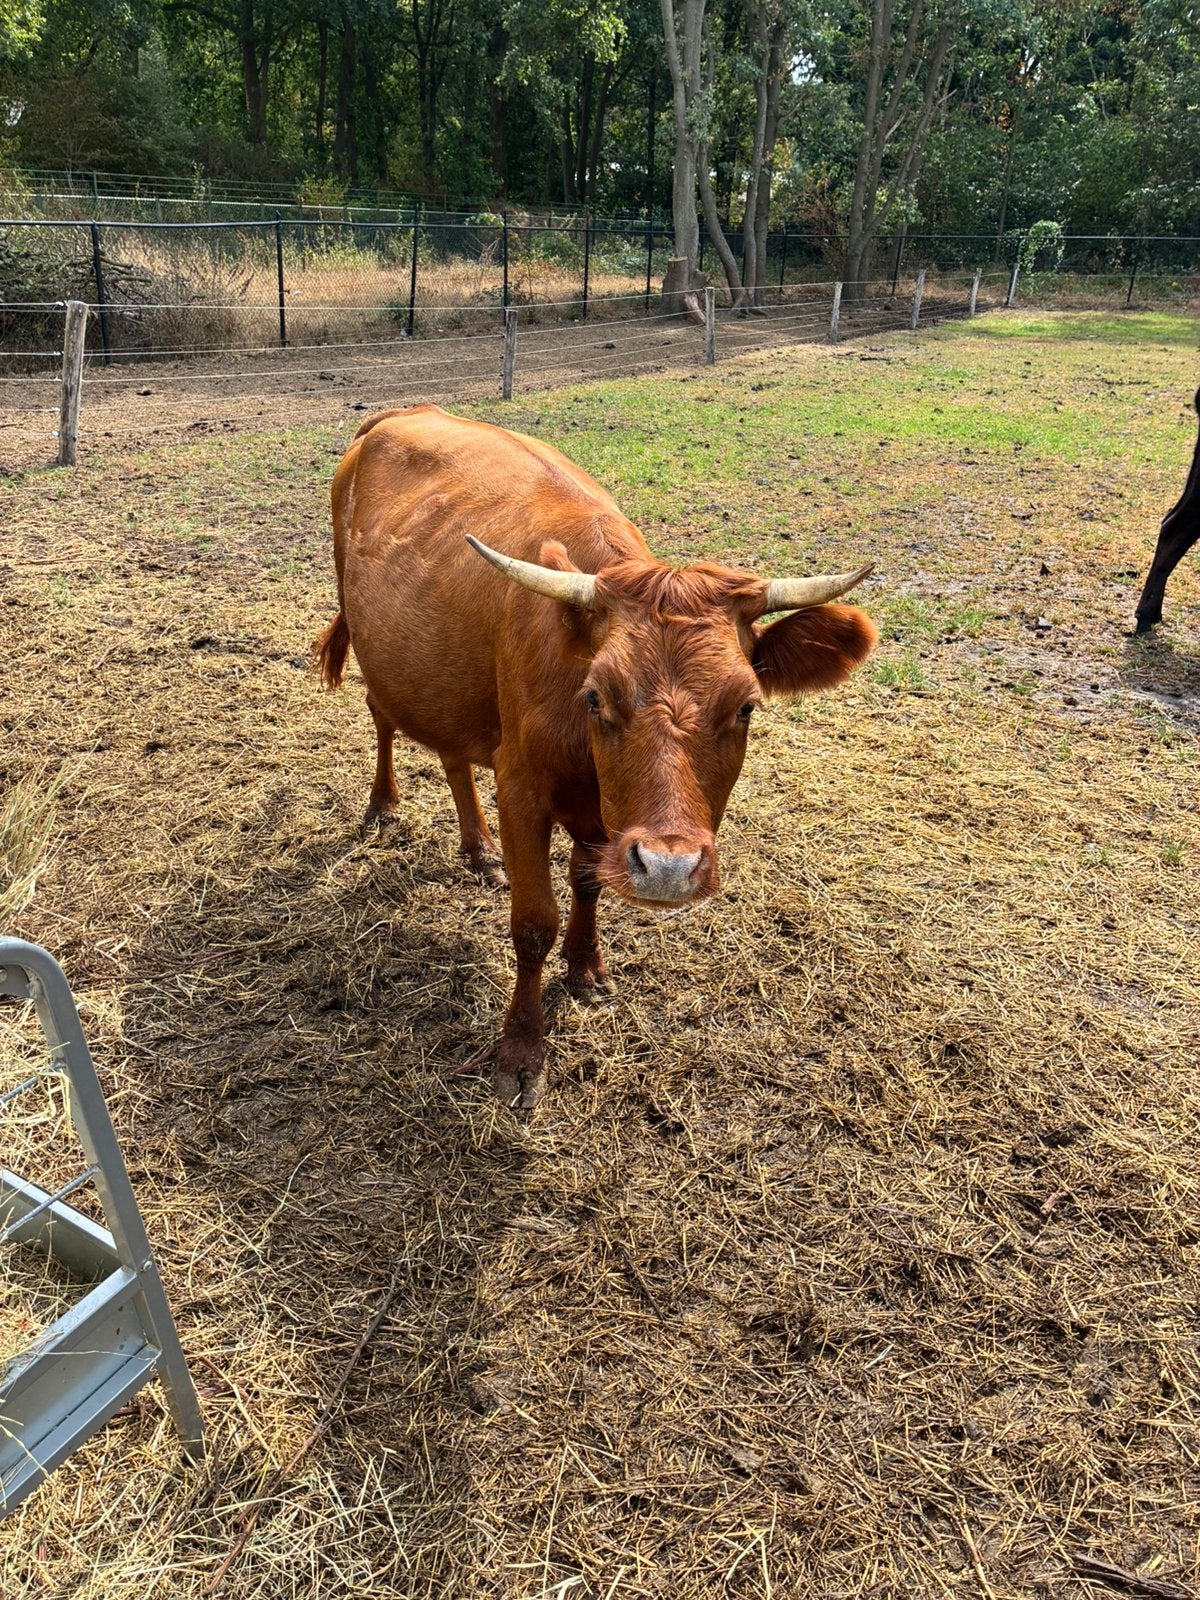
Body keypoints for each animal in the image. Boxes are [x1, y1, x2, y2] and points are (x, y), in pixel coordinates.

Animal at [314, 405, 877, 1110]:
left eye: (747, 705)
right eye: (597, 696)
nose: (669, 868)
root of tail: (405, 412)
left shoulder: (604, 816)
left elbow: (587, 883)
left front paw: (586, 968)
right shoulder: (522, 789)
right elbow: (534, 924)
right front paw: (521, 1051)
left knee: (453, 756)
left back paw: (478, 850)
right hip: (376, 647)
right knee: (383, 717)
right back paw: (384, 806)